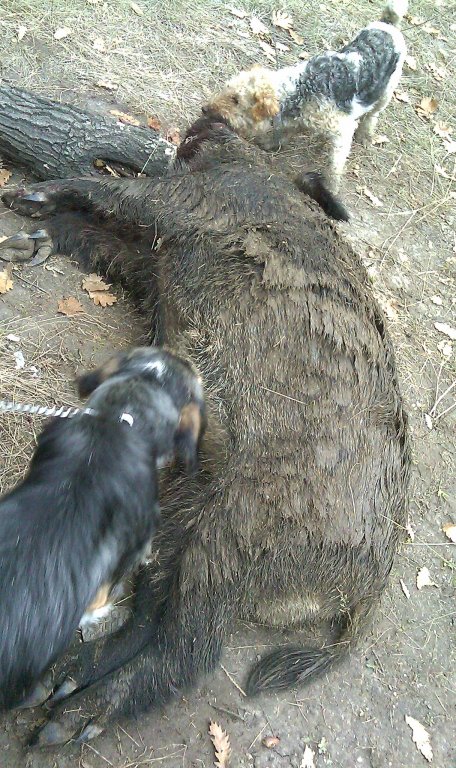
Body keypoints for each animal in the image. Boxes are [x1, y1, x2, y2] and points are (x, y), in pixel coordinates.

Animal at [202, 0, 408, 189]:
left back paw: (365, 136)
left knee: (372, 115)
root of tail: (388, 24)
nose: (204, 109)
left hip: (386, 92)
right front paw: (269, 144)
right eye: (226, 87)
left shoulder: (343, 131)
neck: (301, 89)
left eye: (236, 100)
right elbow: (288, 130)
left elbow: (335, 166)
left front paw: (330, 187)